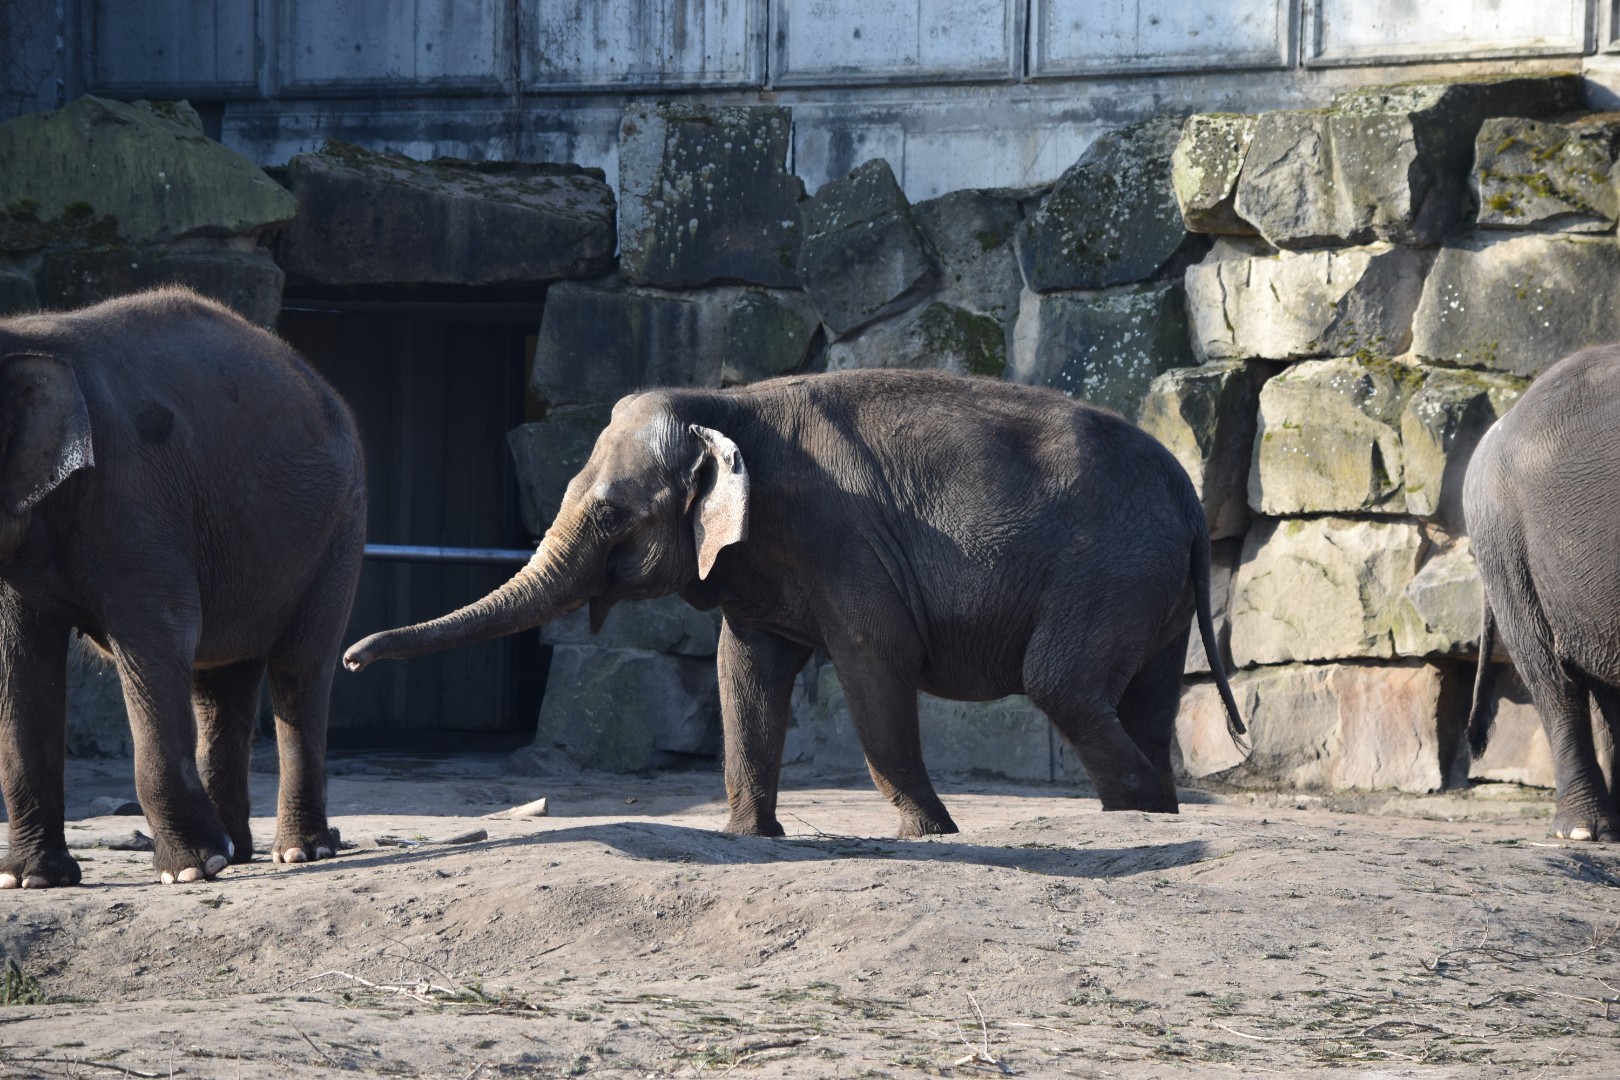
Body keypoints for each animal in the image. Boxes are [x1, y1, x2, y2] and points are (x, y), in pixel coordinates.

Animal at [0, 287, 366, 887]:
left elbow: (160, 637)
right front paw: (31, 880)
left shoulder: (135, 498)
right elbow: (22, 663)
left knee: (301, 666)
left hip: (340, 527)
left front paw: (191, 870)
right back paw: (236, 852)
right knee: (220, 685)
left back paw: (297, 852)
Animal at [346, 369, 1244, 837]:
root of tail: (1188, 495)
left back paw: (1142, 809)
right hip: (1147, 584)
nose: (351, 660)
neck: (727, 401)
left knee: (1061, 682)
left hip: (1107, 570)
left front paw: (932, 834)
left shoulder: (844, 543)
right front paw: (750, 838)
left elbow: (874, 662)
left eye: (608, 515)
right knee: (1143, 695)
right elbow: (744, 671)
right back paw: (1149, 810)